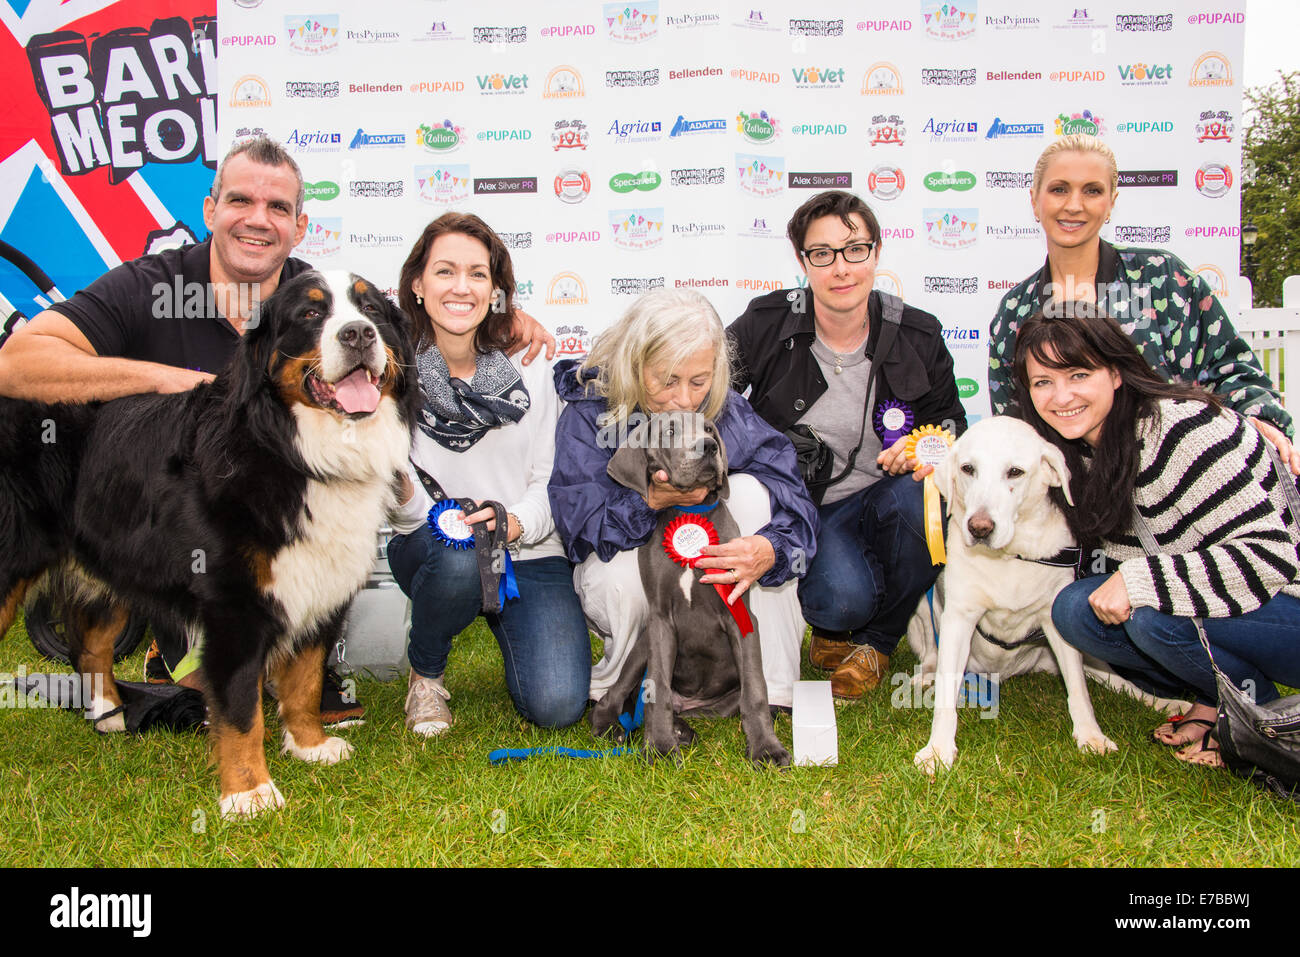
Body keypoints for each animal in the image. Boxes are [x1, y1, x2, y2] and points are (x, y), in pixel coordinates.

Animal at [0, 273, 416, 816]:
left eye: (372, 310)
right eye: (309, 314)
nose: (359, 334)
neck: (296, 450)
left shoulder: (322, 581)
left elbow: (304, 678)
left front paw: (310, 744)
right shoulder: (232, 605)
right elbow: (241, 709)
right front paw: (248, 791)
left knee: (91, 648)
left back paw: (112, 715)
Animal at [592, 410, 790, 769]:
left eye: (710, 429)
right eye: (670, 430)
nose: (708, 446)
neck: (688, 514)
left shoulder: (740, 615)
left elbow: (755, 690)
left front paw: (766, 749)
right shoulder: (660, 620)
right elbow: (656, 686)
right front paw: (659, 746)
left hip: (719, 702)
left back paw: (681, 729)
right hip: (641, 646)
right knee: (618, 692)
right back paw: (613, 725)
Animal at [915, 416, 1190, 774]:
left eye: (1015, 472)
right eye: (967, 468)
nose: (979, 528)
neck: (1010, 556)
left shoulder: (1055, 619)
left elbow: (1079, 689)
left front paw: (1090, 736)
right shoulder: (959, 618)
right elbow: (947, 692)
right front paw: (937, 750)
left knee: (1122, 684)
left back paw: (1167, 703)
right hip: (924, 609)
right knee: (931, 652)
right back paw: (925, 674)